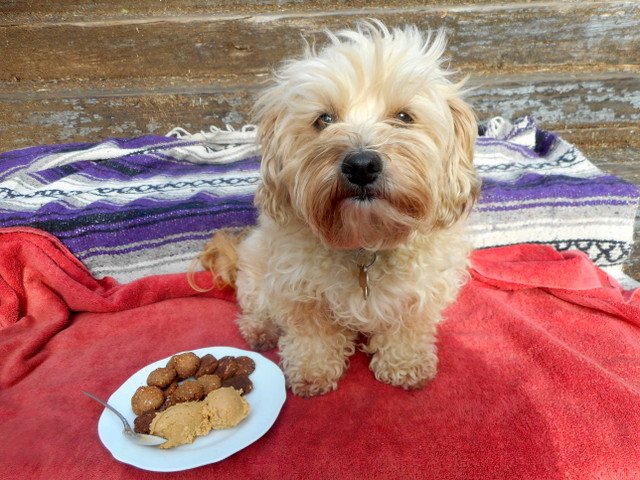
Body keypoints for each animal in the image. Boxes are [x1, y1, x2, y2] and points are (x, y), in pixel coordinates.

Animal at [199, 21, 480, 398]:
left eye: (404, 117)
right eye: (324, 119)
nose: (361, 165)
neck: (364, 242)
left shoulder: (418, 295)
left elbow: (406, 329)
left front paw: (405, 364)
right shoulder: (298, 290)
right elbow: (312, 335)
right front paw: (312, 370)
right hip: (257, 269)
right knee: (256, 304)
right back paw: (260, 329)